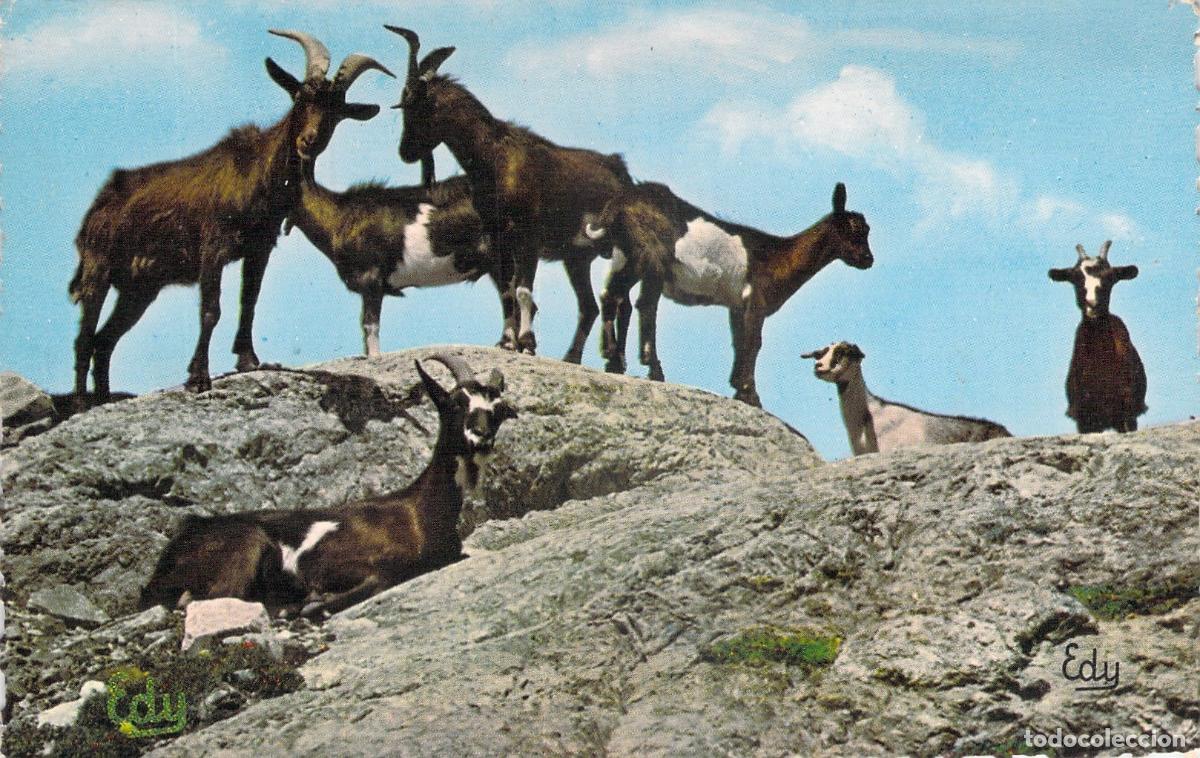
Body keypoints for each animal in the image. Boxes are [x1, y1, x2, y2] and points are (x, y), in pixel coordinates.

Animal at [69, 30, 393, 409]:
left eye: (337, 111)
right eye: (299, 97)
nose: (308, 141)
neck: (259, 175)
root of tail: (98, 207)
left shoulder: (259, 248)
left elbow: (248, 302)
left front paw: (249, 361)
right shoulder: (213, 246)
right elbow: (211, 309)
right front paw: (198, 377)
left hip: (140, 287)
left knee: (104, 340)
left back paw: (104, 399)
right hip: (99, 268)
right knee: (84, 338)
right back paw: (80, 404)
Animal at [139, 354, 517, 618]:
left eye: (498, 411)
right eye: (456, 403)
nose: (481, 437)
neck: (419, 512)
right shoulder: (333, 562)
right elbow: (377, 578)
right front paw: (313, 602)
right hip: (246, 545)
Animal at [386, 26, 633, 361]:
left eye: (418, 105)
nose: (405, 152)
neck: (494, 160)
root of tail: (621, 170)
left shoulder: (528, 237)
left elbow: (523, 290)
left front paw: (527, 343)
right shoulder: (498, 238)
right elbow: (506, 291)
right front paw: (506, 342)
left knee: (623, 303)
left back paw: (619, 363)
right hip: (577, 257)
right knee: (591, 306)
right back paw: (573, 358)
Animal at [585, 181, 874, 406]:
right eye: (854, 229)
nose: (868, 260)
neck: (777, 256)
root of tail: (617, 206)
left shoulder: (736, 305)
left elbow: (739, 341)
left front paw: (737, 388)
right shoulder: (756, 300)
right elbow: (753, 342)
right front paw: (751, 396)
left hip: (624, 258)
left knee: (613, 298)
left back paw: (614, 362)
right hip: (650, 258)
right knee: (644, 305)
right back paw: (652, 369)